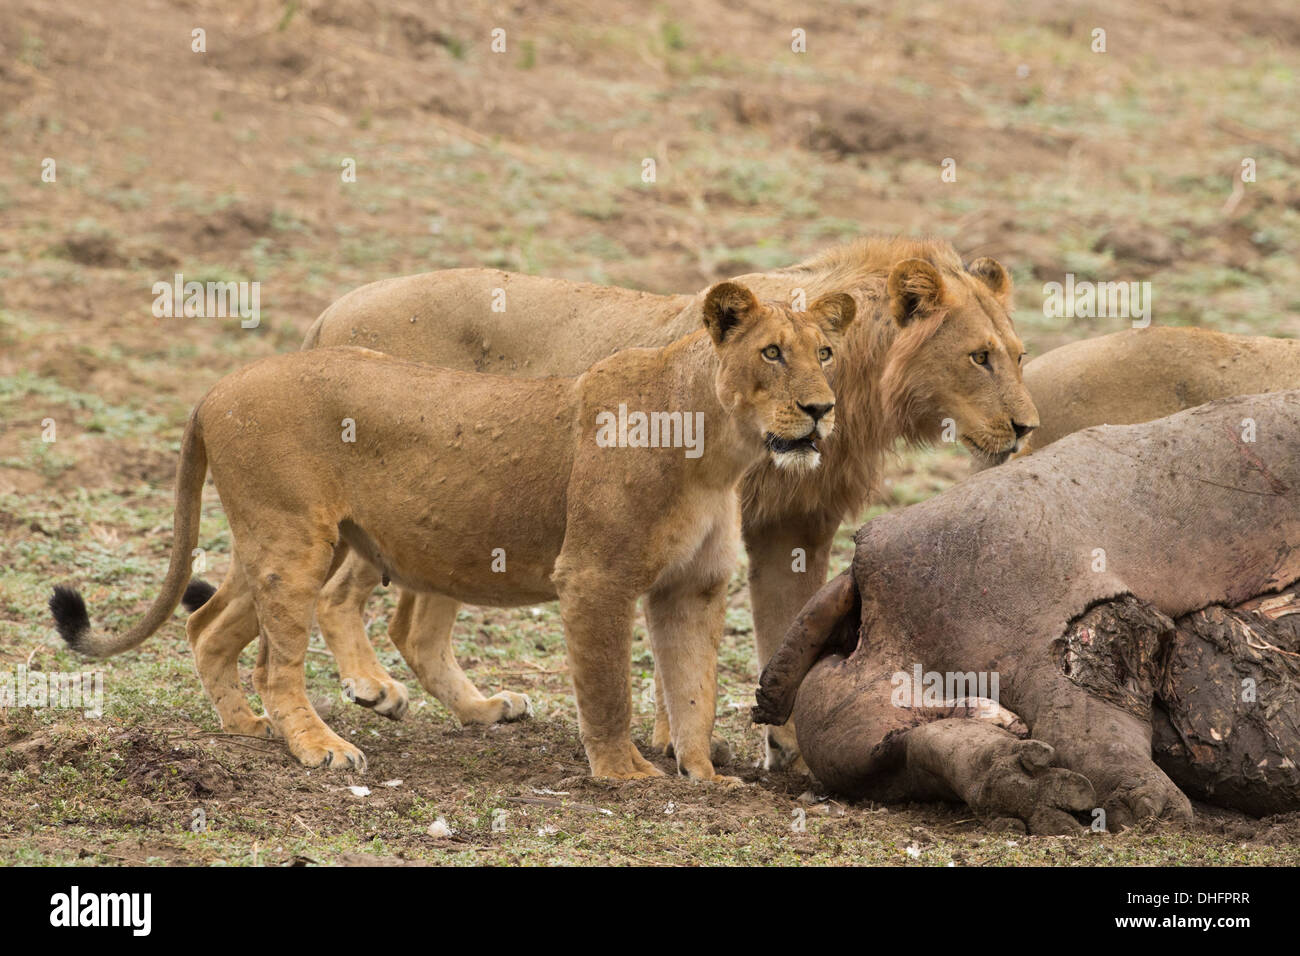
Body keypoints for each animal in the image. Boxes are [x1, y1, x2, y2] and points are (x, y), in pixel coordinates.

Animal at [50, 280, 852, 780]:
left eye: (826, 353)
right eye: (771, 352)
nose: (822, 409)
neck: (718, 449)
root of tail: (217, 387)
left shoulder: (694, 586)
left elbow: (695, 691)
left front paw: (709, 778)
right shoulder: (594, 576)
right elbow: (609, 688)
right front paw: (625, 774)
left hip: (296, 543)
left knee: (209, 625)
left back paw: (249, 728)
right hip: (295, 542)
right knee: (274, 663)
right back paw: (319, 747)